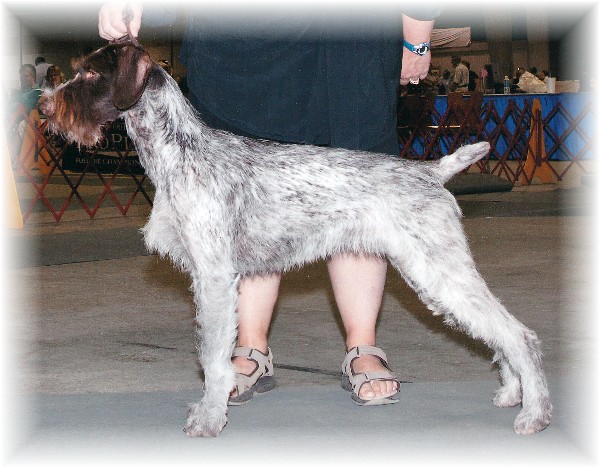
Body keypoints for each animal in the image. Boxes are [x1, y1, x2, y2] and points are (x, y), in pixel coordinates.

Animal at [38, 42, 552, 436]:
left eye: (90, 72)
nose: (43, 106)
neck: (179, 152)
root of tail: (431, 171)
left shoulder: (214, 278)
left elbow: (212, 358)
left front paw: (209, 418)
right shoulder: (216, 280)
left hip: (439, 270)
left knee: (518, 334)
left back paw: (534, 413)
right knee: (499, 333)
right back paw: (512, 393)